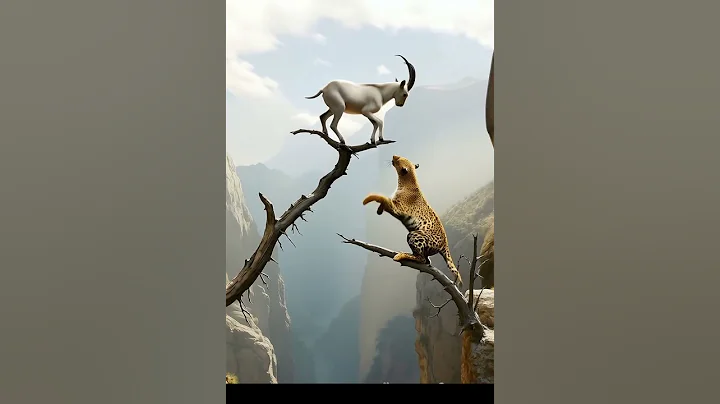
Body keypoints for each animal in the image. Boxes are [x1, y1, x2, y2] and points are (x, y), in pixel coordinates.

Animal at [362, 155, 462, 286]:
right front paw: (379, 210)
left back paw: (402, 255)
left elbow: (383, 198)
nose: (394, 156)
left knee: (422, 259)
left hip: (414, 235)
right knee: (426, 260)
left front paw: (369, 199)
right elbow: (384, 201)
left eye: (399, 159)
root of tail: (445, 245)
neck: (407, 181)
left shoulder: (397, 208)